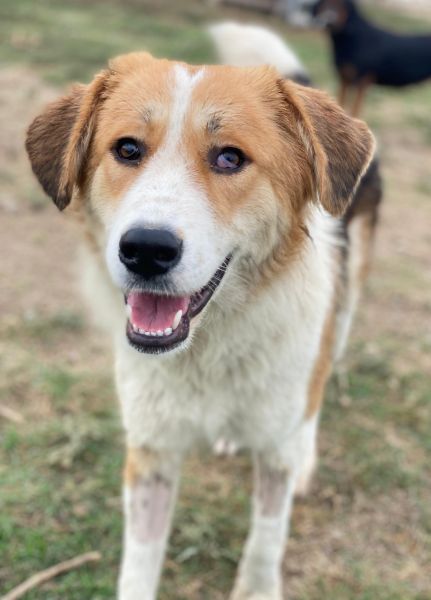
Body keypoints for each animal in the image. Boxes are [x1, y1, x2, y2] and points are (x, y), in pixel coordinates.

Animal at [26, 36, 377, 599]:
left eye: (230, 157)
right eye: (127, 149)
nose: (146, 250)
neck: (211, 346)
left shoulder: (274, 444)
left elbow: (267, 536)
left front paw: (258, 587)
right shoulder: (151, 450)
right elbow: (139, 561)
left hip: (342, 308)